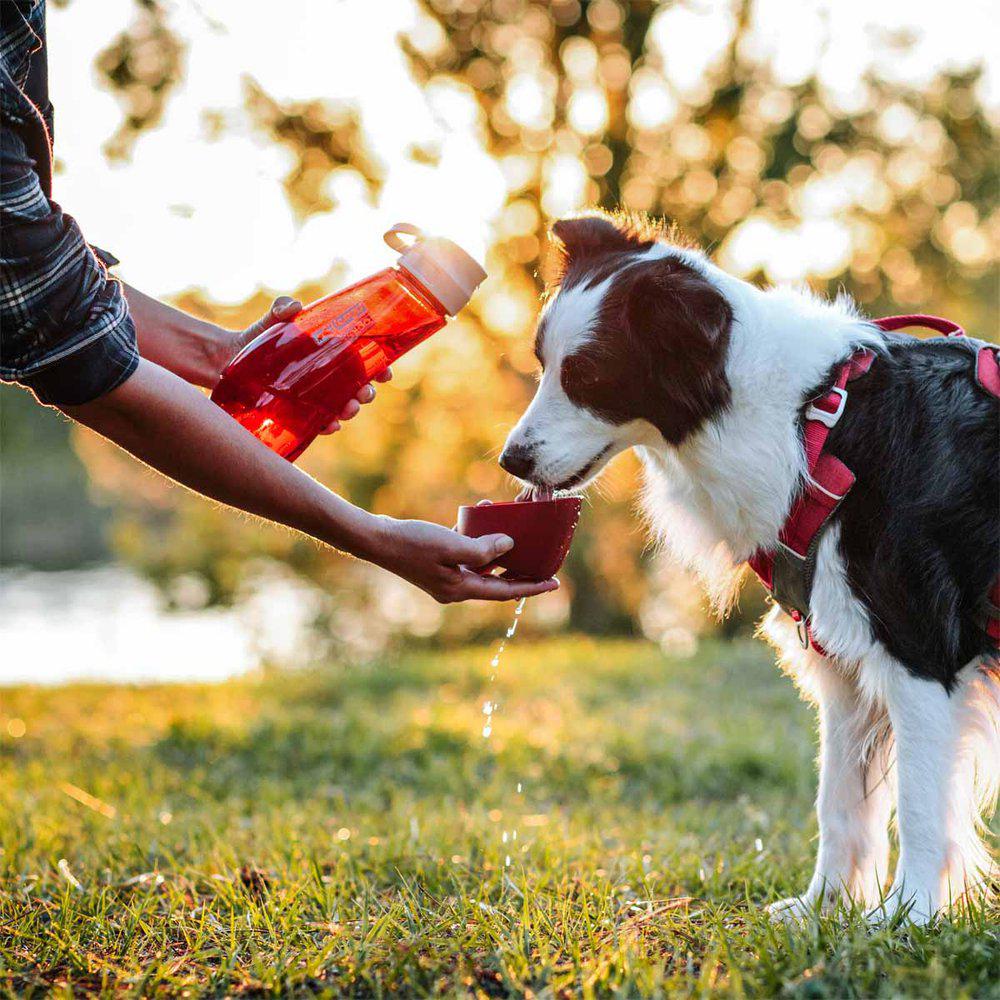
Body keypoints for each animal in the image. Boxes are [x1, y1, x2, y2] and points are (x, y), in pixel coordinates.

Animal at [500, 213, 1000, 928]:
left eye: (588, 375)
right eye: (544, 363)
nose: (510, 460)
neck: (811, 429)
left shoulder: (922, 649)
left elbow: (921, 807)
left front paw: (907, 921)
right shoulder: (843, 663)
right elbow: (839, 803)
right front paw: (823, 914)